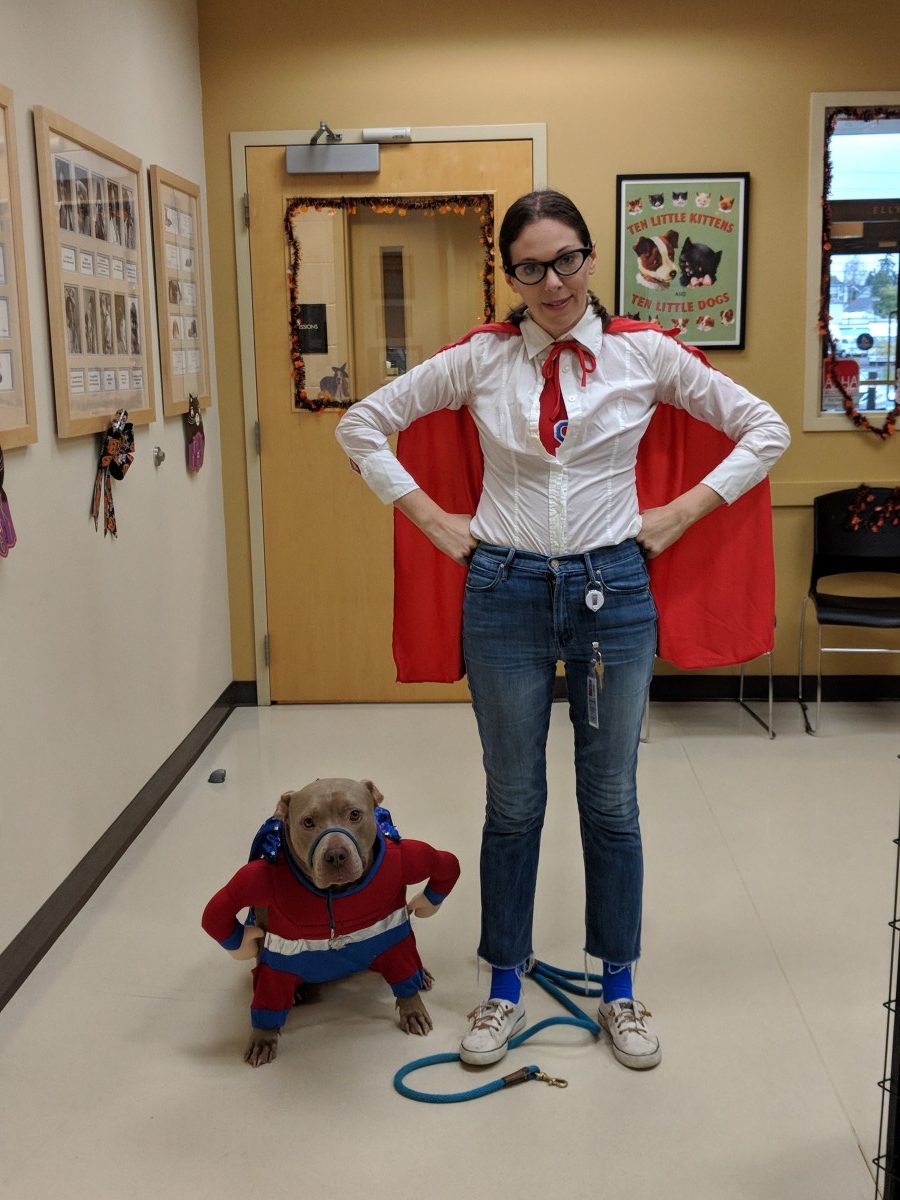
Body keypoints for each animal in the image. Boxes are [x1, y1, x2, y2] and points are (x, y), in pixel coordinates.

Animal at [202, 777, 460, 1067]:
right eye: (308, 822)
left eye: (355, 814)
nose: (336, 854)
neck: (335, 893)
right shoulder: (274, 946)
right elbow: (267, 992)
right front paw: (262, 1039)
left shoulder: (393, 933)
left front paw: (412, 1008)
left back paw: (421, 973)